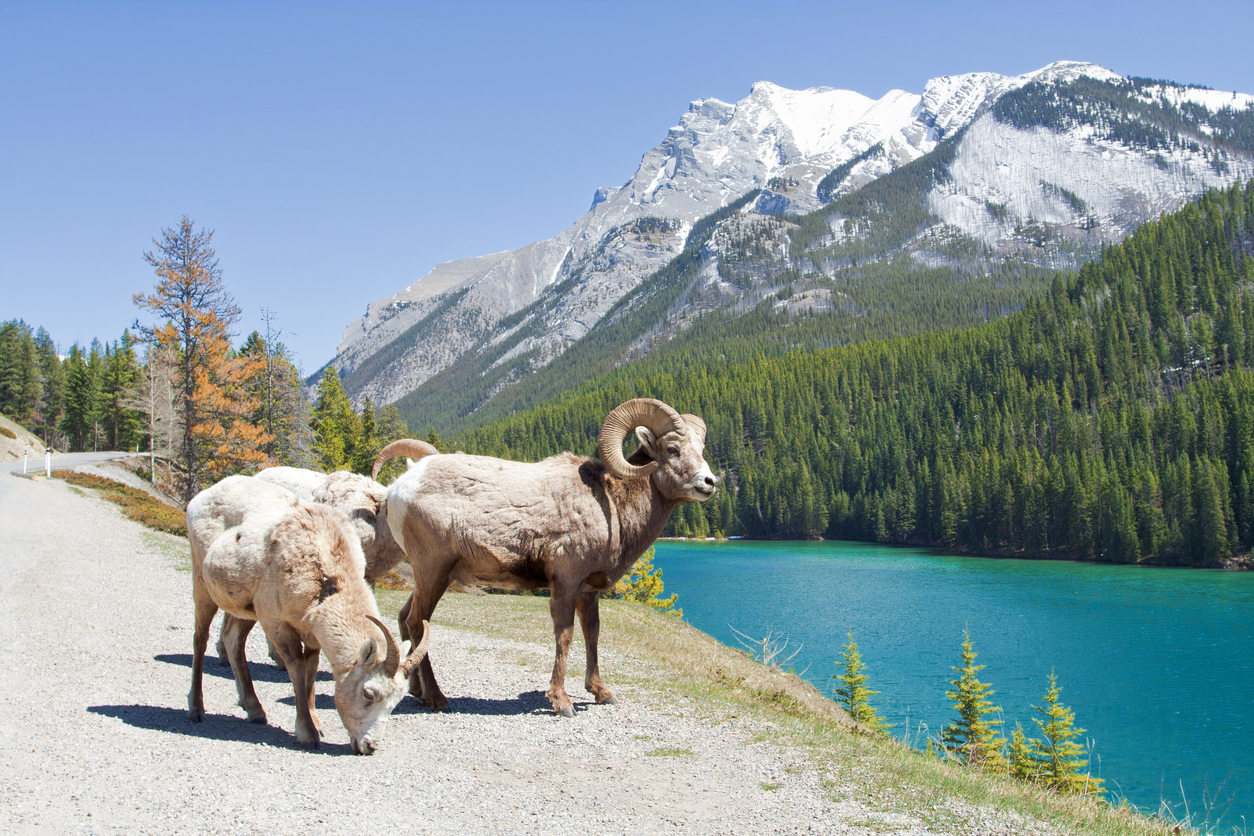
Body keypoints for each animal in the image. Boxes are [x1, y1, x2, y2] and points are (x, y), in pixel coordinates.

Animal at [186, 475, 429, 753]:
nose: (370, 746)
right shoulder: (276, 623)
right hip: (202, 585)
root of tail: (202, 497)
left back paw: (255, 710)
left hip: (245, 610)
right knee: (200, 638)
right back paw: (196, 709)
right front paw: (307, 733)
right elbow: (297, 669)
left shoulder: (312, 632)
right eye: (369, 693)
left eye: (396, 702)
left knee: (233, 640)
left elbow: (311, 672)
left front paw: (317, 724)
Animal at [372, 397, 716, 717]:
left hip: (432, 578)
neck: (610, 505)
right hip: (433, 572)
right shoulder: (565, 581)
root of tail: (398, 488)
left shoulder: (588, 591)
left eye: (700, 448)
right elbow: (564, 636)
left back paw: (416, 691)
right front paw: (561, 702)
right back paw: (436, 698)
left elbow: (592, 634)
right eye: (672, 448)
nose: (709, 483)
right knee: (418, 623)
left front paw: (601, 692)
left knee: (406, 618)